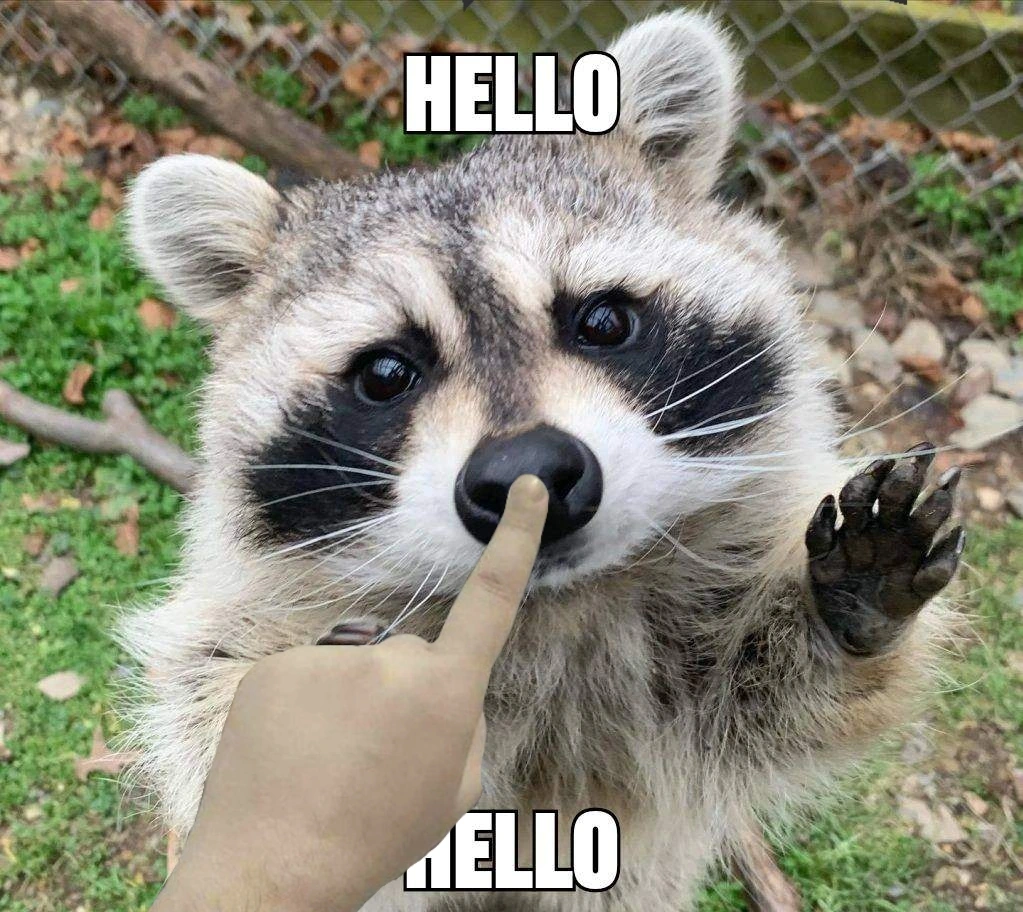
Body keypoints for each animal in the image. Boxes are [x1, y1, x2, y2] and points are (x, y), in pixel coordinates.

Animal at [121, 11, 964, 911]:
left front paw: (842, 607)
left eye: (603, 320)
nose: (528, 474)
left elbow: (765, 702)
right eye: (385, 374)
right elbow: (218, 712)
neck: (554, 605)